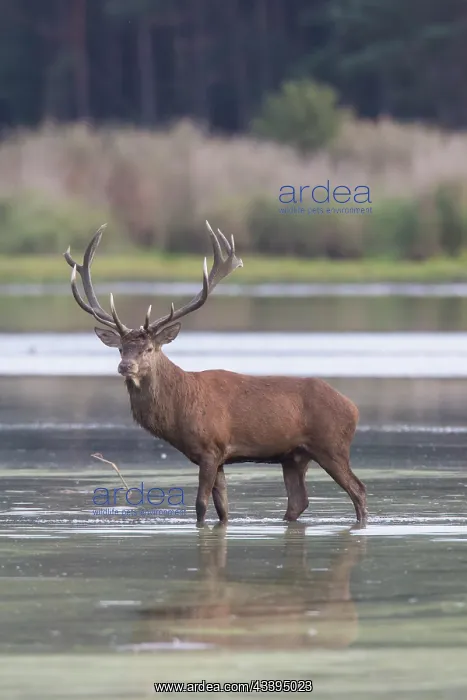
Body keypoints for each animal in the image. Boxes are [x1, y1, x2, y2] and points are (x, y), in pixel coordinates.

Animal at [64, 222, 367, 526]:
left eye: (149, 348)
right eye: (121, 348)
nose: (125, 366)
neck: (178, 408)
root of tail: (353, 407)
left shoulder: (210, 448)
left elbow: (201, 505)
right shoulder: (218, 457)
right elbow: (223, 508)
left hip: (331, 446)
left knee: (358, 490)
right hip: (294, 456)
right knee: (299, 500)